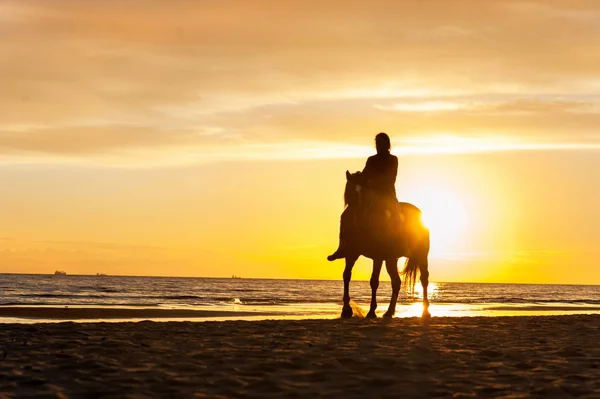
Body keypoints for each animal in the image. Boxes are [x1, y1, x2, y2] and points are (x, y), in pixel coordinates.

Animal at [336, 171, 428, 318]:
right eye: (349, 191)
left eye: (364, 192)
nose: (358, 219)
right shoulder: (351, 253)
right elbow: (346, 276)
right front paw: (346, 310)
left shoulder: (377, 256)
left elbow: (374, 281)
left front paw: (371, 311)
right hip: (391, 259)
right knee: (396, 282)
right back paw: (389, 312)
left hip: (421, 255)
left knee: (424, 279)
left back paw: (426, 311)